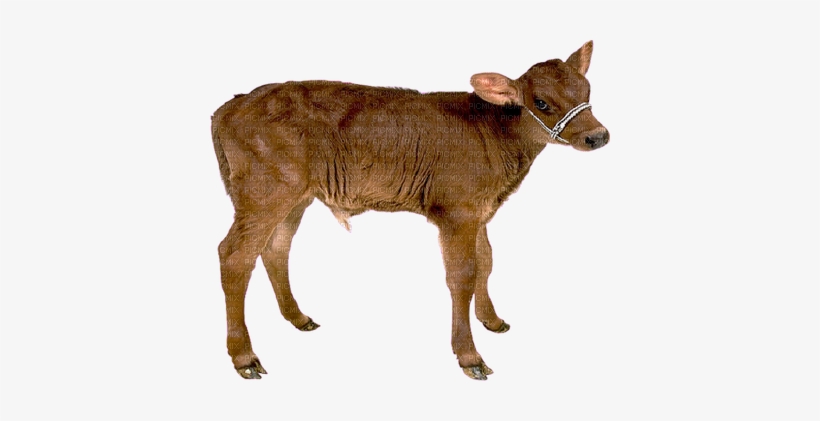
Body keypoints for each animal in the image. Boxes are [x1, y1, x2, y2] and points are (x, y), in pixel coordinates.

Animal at [211, 41, 609, 380]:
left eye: (587, 92)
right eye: (540, 102)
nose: (598, 136)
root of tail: (233, 104)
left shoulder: (479, 211)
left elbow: (487, 261)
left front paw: (492, 320)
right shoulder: (457, 212)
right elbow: (462, 276)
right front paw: (470, 356)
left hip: (295, 197)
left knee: (275, 248)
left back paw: (298, 317)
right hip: (264, 192)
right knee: (235, 255)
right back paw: (245, 357)